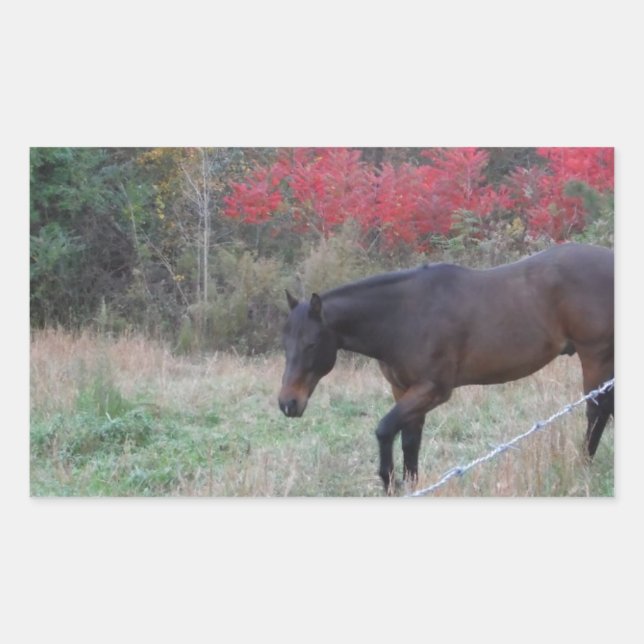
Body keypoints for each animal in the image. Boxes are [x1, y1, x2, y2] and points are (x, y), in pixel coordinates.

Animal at [278, 243, 614, 494]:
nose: (288, 403)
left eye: (311, 344)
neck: (403, 316)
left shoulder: (433, 390)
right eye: (285, 343)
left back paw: (583, 467)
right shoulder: (404, 389)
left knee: (596, 410)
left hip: (595, 355)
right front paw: (411, 485)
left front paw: (390, 482)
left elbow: (385, 429)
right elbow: (410, 440)